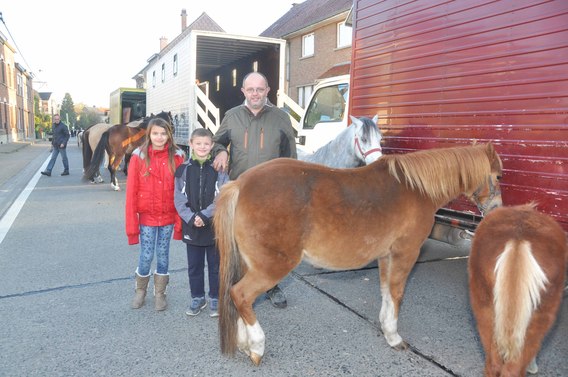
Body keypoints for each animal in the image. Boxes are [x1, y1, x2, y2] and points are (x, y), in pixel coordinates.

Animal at [215, 142, 504, 364]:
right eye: (499, 176)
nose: (497, 210)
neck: (415, 189)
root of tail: (240, 184)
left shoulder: (386, 256)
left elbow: (386, 291)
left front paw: (386, 328)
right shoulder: (405, 253)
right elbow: (397, 293)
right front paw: (395, 337)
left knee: (236, 297)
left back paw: (245, 344)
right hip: (272, 266)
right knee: (241, 295)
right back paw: (256, 347)